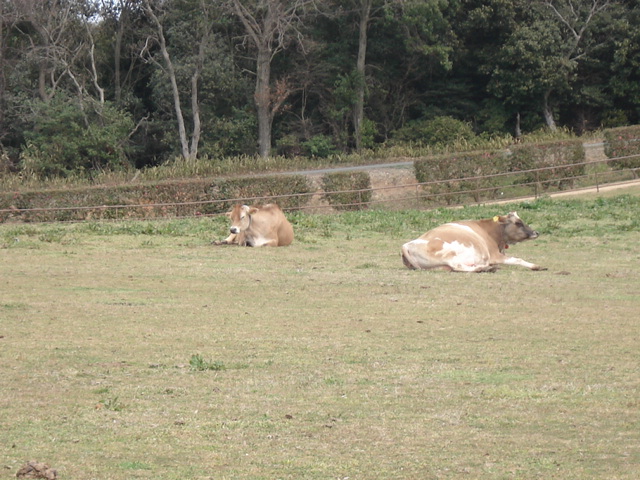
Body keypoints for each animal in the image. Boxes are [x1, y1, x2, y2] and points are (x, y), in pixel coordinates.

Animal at [400, 211, 544, 272]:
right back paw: (484, 268)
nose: (536, 232)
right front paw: (536, 266)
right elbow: (517, 259)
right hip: (451, 253)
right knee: (457, 266)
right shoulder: (494, 255)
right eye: (518, 223)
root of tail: (407, 245)